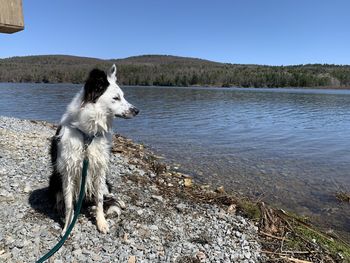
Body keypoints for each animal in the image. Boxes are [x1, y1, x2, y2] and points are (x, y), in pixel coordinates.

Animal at [49, 65, 139, 235]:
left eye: (123, 96)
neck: (87, 134)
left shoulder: (99, 168)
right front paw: (67, 226)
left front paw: (101, 222)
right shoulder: (68, 171)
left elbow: (100, 200)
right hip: (55, 177)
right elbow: (69, 203)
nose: (137, 111)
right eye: (116, 98)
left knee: (108, 193)